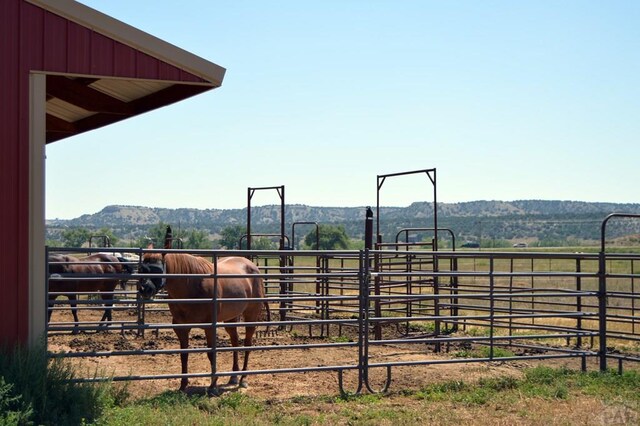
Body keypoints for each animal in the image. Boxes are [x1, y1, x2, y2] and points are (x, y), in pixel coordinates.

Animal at [139, 228, 268, 394]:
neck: (192, 287)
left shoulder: (209, 327)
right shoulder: (181, 327)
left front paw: (213, 387)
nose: (145, 290)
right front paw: (183, 385)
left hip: (251, 315)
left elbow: (211, 353)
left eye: (158, 269)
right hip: (230, 319)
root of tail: (252, 266)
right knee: (235, 341)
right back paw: (233, 377)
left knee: (247, 344)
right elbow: (184, 354)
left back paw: (243, 379)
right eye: (142, 269)